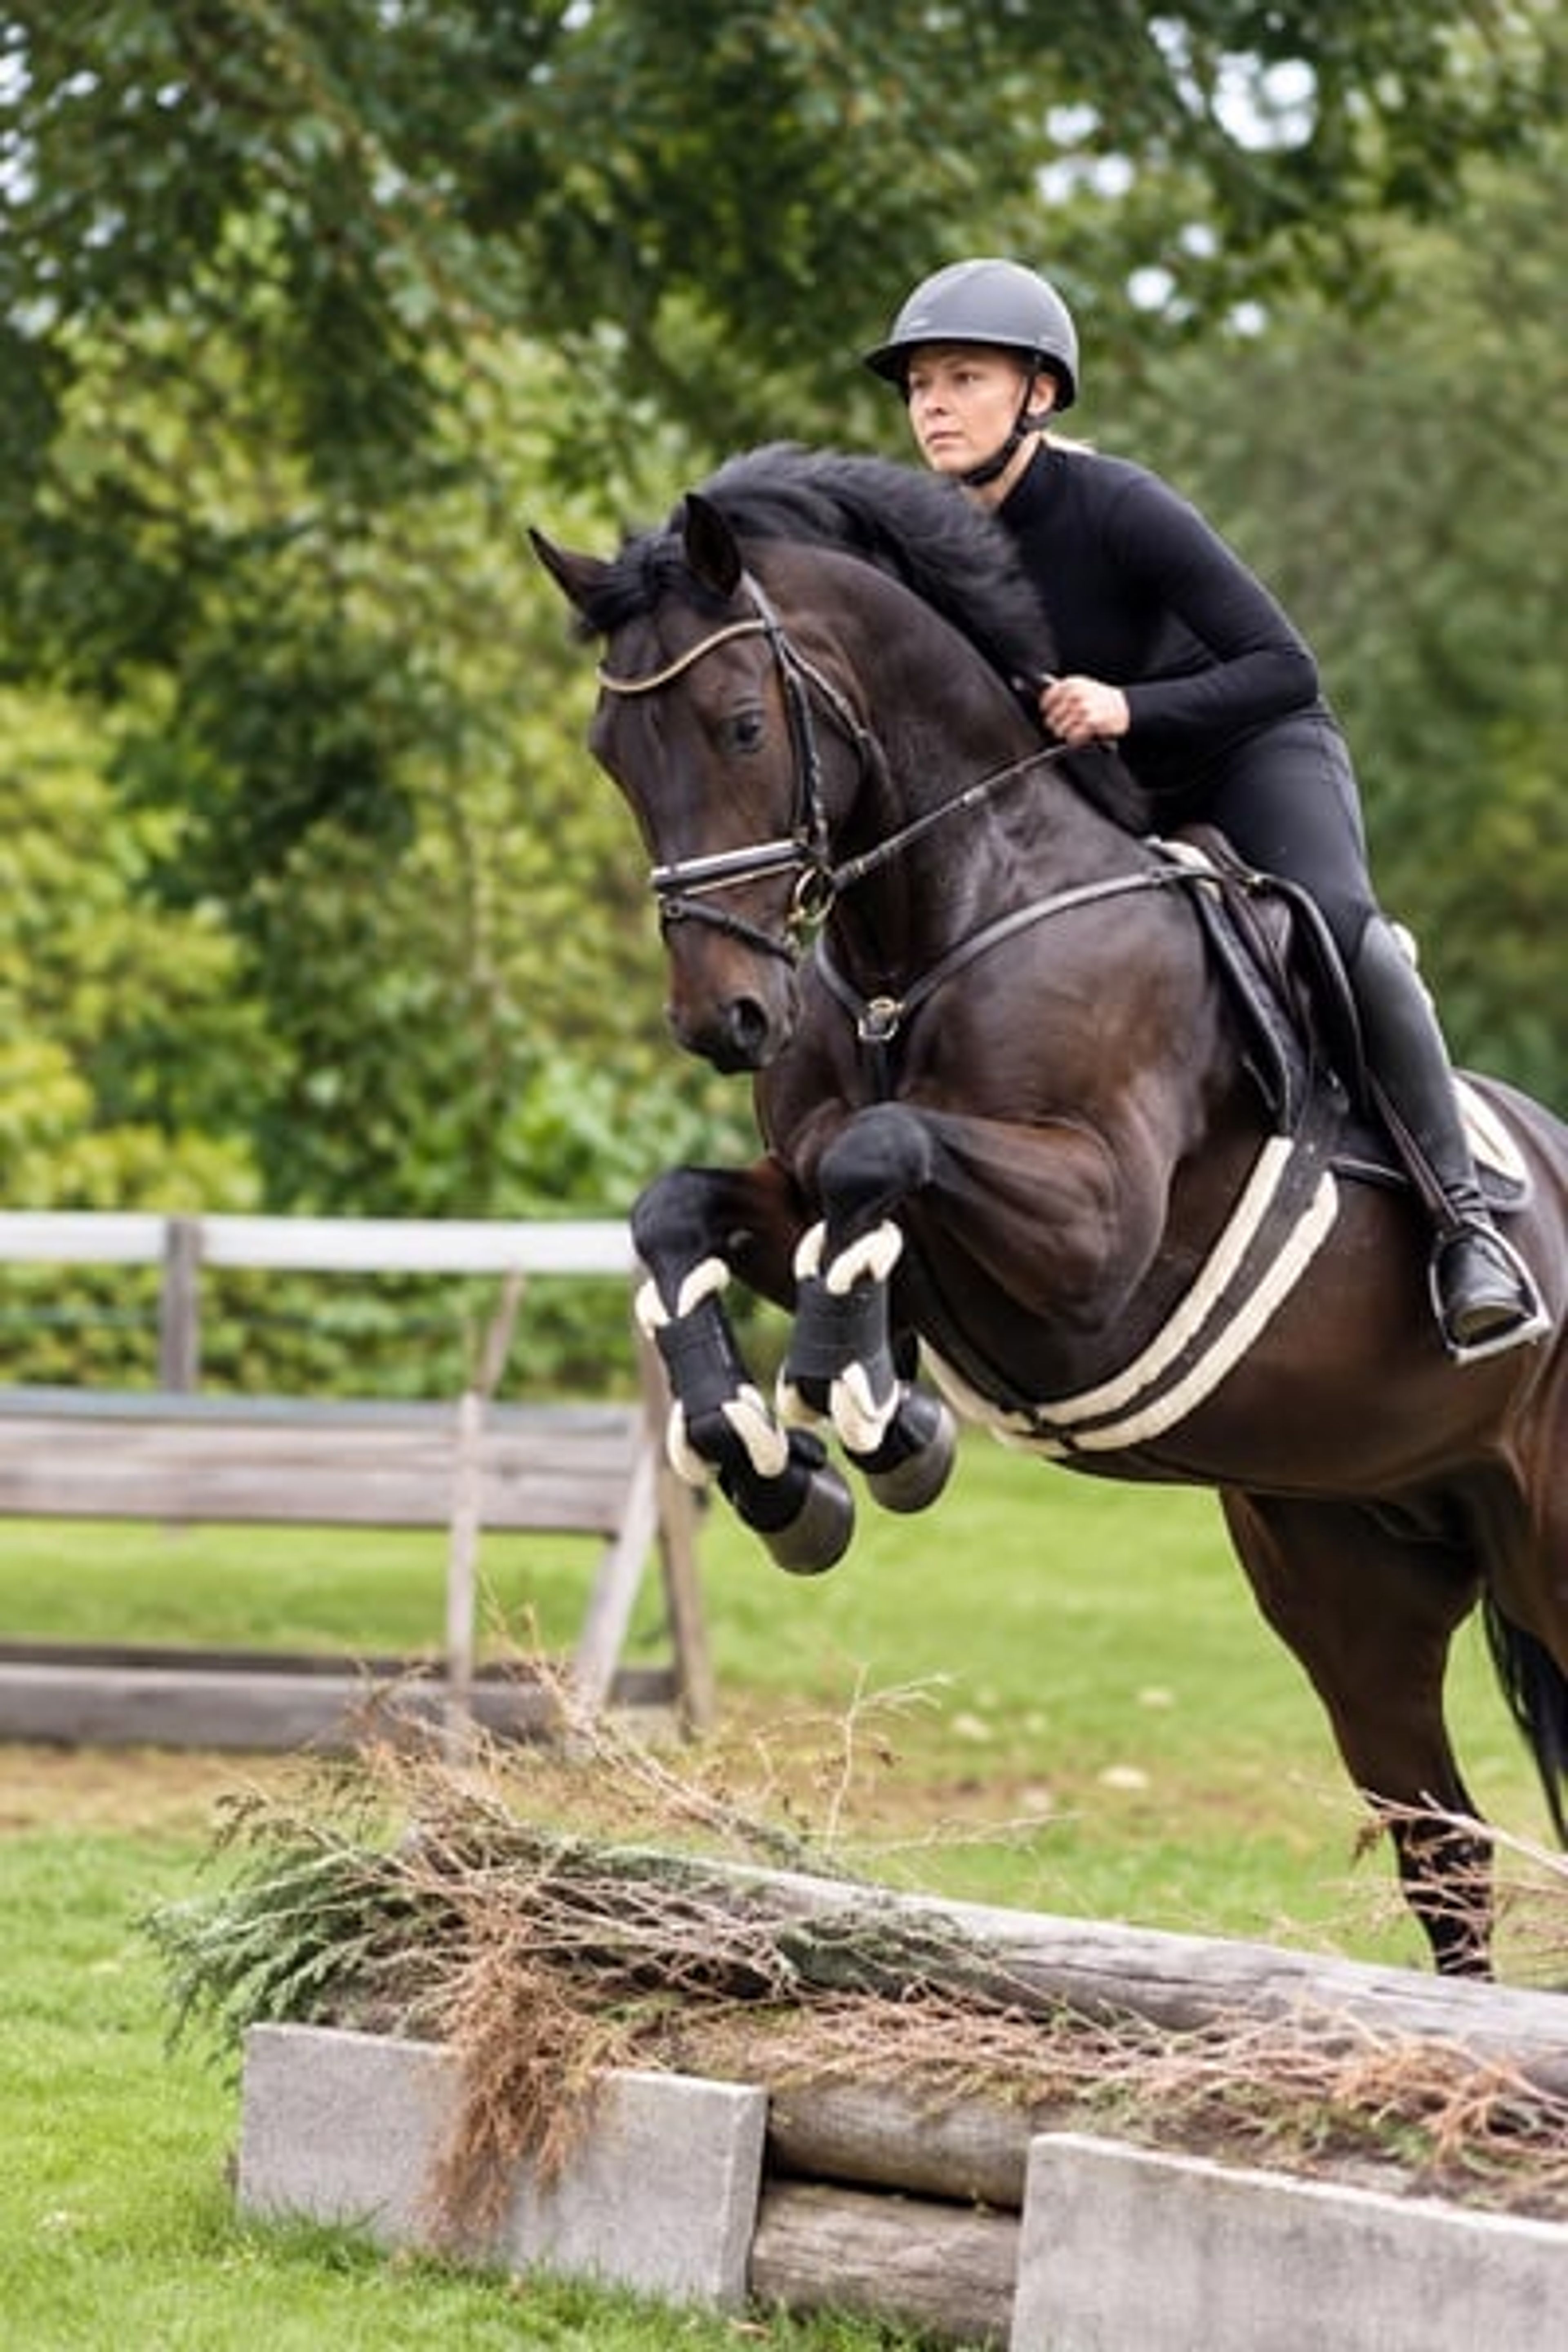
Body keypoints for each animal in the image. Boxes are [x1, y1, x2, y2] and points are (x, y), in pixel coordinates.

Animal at [531, 442, 1568, 1976]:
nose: (721, 1020)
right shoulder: (803, 1194)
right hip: (1351, 1574)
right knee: (1442, 1846)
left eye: (738, 728)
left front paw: (870, 1414)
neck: (932, 922)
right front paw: (777, 1463)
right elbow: (692, 1212)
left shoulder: (1094, 1242)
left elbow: (882, 1154)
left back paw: (1480, 1281)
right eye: (612, 753)